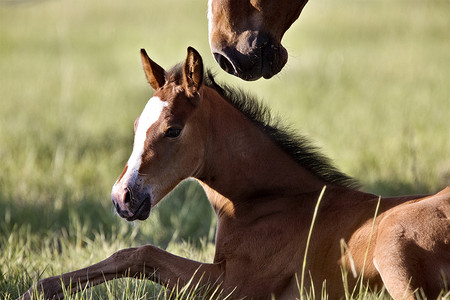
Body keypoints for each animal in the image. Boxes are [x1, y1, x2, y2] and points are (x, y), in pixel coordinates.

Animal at [21, 47, 450, 300]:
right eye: (136, 126)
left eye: (173, 129)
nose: (123, 198)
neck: (268, 202)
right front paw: (41, 288)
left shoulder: (235, 286)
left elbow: (142, 253)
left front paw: (37, 289)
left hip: (392, 249)